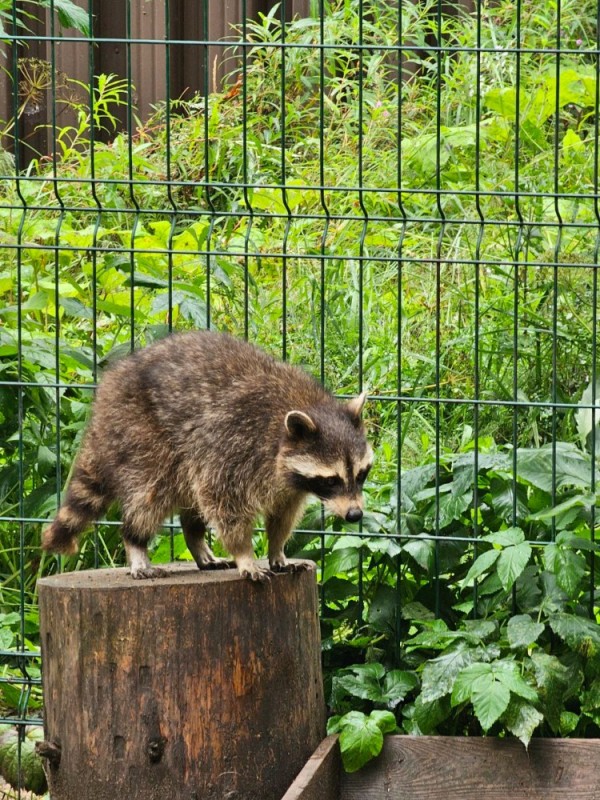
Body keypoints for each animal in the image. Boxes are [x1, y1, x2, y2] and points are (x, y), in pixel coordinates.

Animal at [41, 332, 370, 580]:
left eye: (361, 474)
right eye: (331, 480)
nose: (355, 515)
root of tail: (106, 394)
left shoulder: (289, 485)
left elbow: (282, 515)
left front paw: (277, 549)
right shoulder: (234, 447)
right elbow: (226, 504)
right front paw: (245, 554)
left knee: (191, 501)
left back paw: (195, 540)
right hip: (141, 436)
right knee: (149, 496)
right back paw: (136, 541)